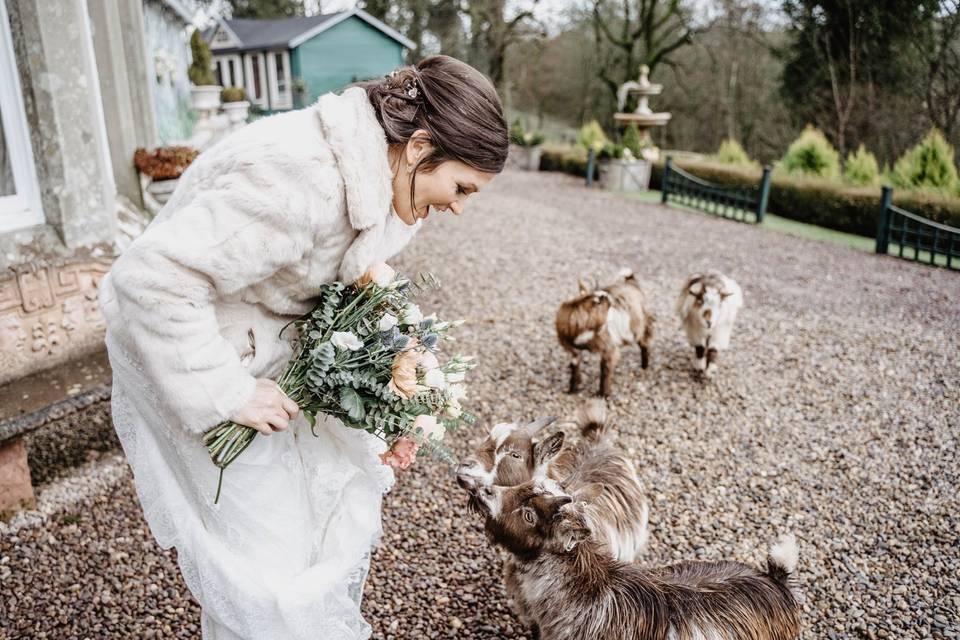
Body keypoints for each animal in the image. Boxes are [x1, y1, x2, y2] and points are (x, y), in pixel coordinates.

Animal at [556, 268, 652, 398]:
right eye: (599, 302)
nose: (607, 296)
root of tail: (631, 283)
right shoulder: (573, 351)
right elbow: (575, 368)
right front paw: (572, 389)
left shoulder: (608, 347)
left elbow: (605, 370)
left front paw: (603, 394)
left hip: (638, 325)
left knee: (644, 342)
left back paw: (644, 366)